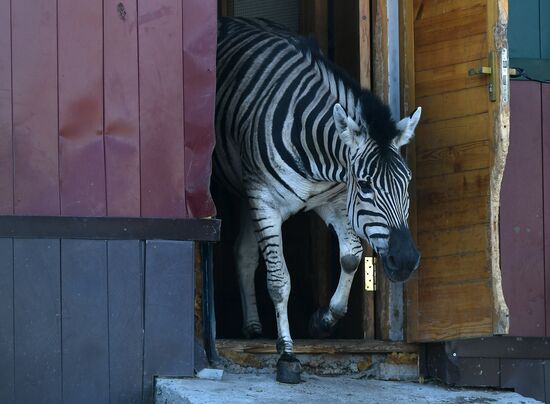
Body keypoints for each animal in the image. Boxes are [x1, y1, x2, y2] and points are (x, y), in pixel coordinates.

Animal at [213, 17, 420, 384]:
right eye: (364, 185)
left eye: (407, 183)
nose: (406, 260)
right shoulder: (265, 201)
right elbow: (279, 280)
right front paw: (286, 353)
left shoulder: (335, 202)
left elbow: (351, 258)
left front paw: (323, 321)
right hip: (248, 194)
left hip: (247, 194)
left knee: (244, 253)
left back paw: (252, 326)